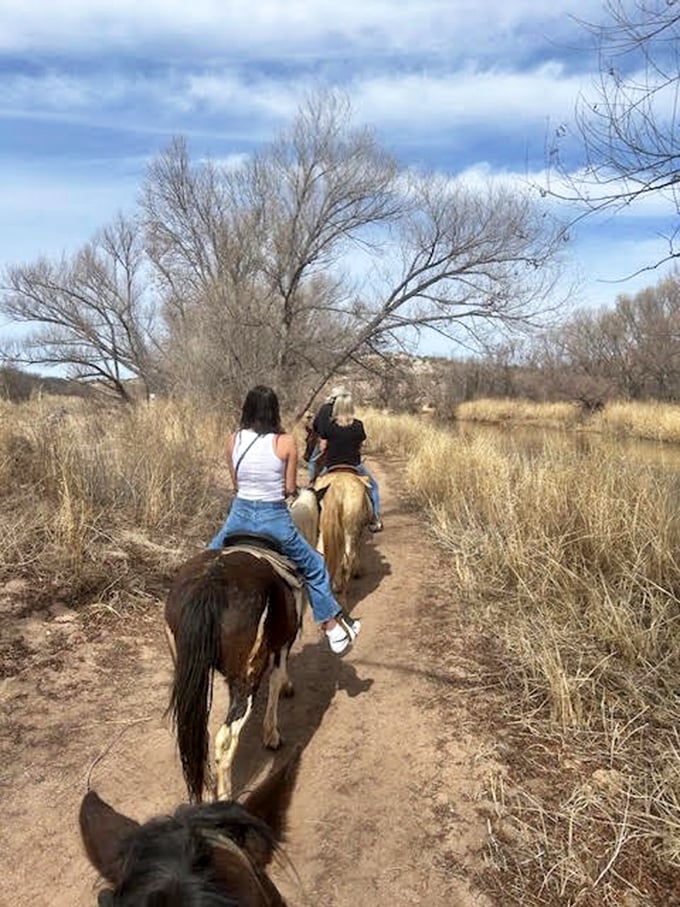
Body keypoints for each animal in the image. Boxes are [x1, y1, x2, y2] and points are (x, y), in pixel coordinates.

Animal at [163, 540, 304, 800]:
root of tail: (209, 585)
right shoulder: (282, 645)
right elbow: (276, 682)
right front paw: (272, 735)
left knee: (197, 739)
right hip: (246, 680)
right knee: (225, 738)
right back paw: (224, 795)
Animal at [314, 472, 372, 600]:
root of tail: (337, 488)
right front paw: (357, 571)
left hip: (324, 532)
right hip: (351, 530)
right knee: (347, 558)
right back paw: (341, 587)